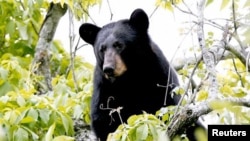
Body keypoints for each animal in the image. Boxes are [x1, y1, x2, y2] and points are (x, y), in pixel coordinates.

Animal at [79, 8, 179, 141]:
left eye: (119, 45)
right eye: (102, 49)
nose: (108, 69)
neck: (128, 79)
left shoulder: (160, 77)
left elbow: (167, 106)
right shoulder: (104, 89)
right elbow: (103, 121)